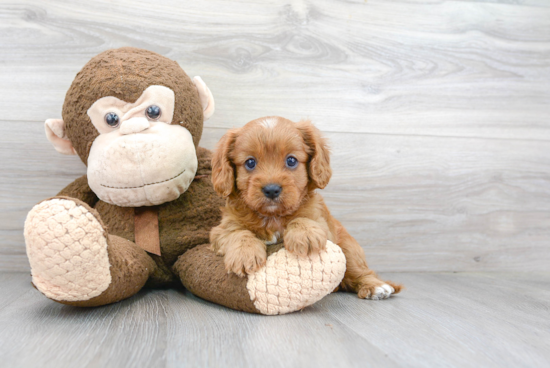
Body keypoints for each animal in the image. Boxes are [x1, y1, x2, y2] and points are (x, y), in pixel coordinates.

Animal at [209, 117, 404, 300]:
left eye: (291, 160)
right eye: (250, 163)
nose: (271, 189)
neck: (272, 216)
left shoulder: (321, 223)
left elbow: (303, 219)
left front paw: (304, 235)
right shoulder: (220, 230)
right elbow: (238, 233)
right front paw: (244, 254)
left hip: (349, 249)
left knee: (360, 271)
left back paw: (376, 287)